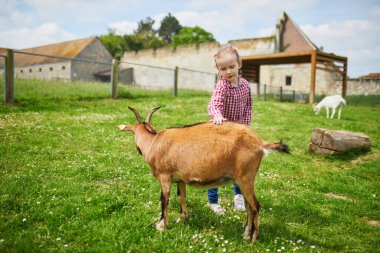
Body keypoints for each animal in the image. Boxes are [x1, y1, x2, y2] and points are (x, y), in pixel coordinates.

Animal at [117, 105, 290, 242]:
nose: (138, 150)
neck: (153, 142)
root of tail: (260, 142)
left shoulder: (164, 176)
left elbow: (164, 199)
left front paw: (161, 225)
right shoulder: (180, 179)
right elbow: (181, 196)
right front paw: (183, 218)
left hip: (245, 177)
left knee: (255, 206)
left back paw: (252, 237)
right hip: (244, 179)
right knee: (249, 206)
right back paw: (246, 234)